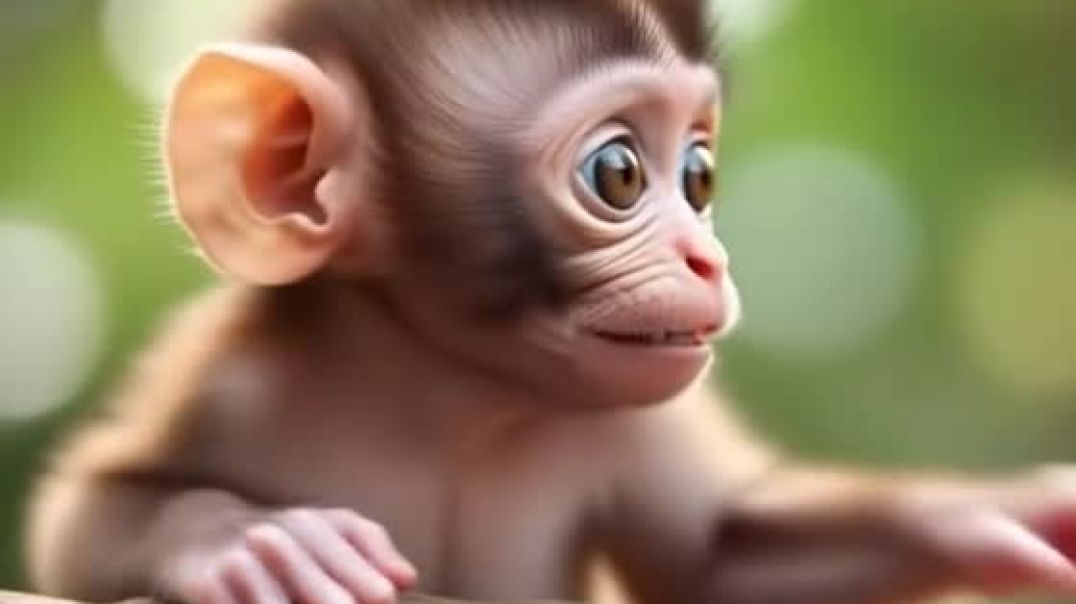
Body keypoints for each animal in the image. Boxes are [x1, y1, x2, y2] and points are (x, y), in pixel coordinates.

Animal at [24, 1, 1076, 604]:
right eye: (618, 173)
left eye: (700, 175)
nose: (707, 258)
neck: (446, 385)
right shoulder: (229, 370)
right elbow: (80, 523)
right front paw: (258, 541)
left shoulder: (632, 416)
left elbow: (710, 558)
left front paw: (991, 512)